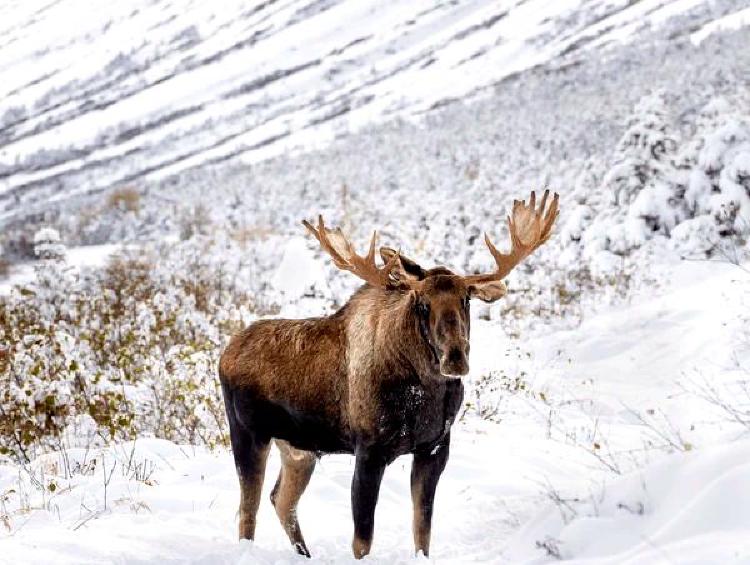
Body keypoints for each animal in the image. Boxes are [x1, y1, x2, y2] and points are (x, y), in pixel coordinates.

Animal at [217, 188, 560, 556]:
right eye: (422, 304)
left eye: (466, 299)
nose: (455, 358)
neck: (425, 393)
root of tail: (225, 354)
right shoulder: (369, 451)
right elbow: (362, 539)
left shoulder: (434, 448)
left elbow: (422, 529)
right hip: (248, 434)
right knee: (247, 512)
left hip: (299, 449)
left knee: (281, 500)